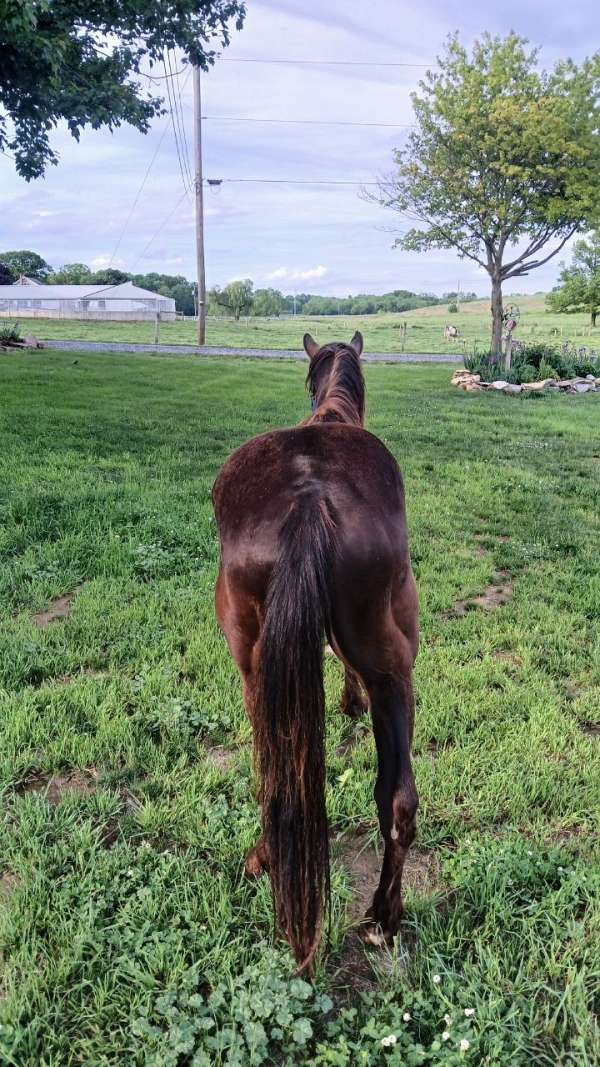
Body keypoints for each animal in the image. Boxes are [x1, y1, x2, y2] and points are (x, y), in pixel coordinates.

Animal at [212, 332, 419, 973]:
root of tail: (309, 498)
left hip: (253, 666)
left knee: (273, 774)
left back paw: (264, 858)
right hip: (392, 667)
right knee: (399, 800)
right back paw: (382, 920)